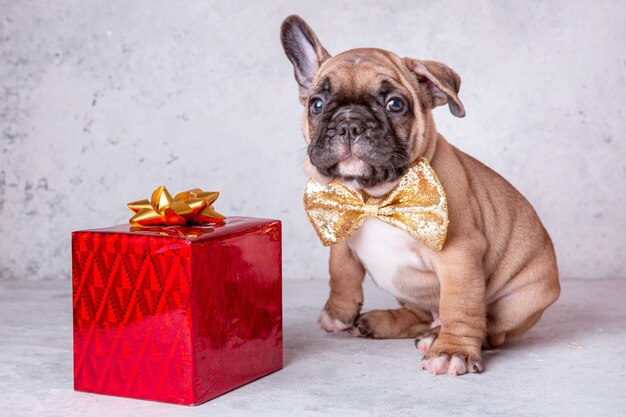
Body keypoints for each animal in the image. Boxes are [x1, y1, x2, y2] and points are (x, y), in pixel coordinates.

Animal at [280, 15, 560, 374]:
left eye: (395, 104)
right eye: (317, 104)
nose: (349, 123)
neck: (374, 198)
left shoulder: (458, 254)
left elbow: (461, 304)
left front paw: (453, 351)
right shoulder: (341, 230)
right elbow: (340, 273)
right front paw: (338, 315)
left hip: (520, 300)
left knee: (488, 328)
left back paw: (437, 337)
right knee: (420, 314)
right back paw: (382, 322)